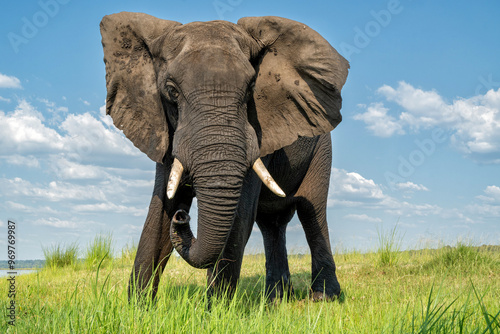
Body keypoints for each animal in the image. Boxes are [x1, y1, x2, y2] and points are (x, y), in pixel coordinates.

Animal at [99, 11, 350, 302]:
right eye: (171, 91)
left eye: (252, 87)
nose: (183, 217)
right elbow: (160, 210)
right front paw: (138, 308)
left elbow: (238, 216)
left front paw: (215, 309)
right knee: (271, 223)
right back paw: (275, 299)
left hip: (322, 149)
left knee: (312, 211)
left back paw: (323, 297)